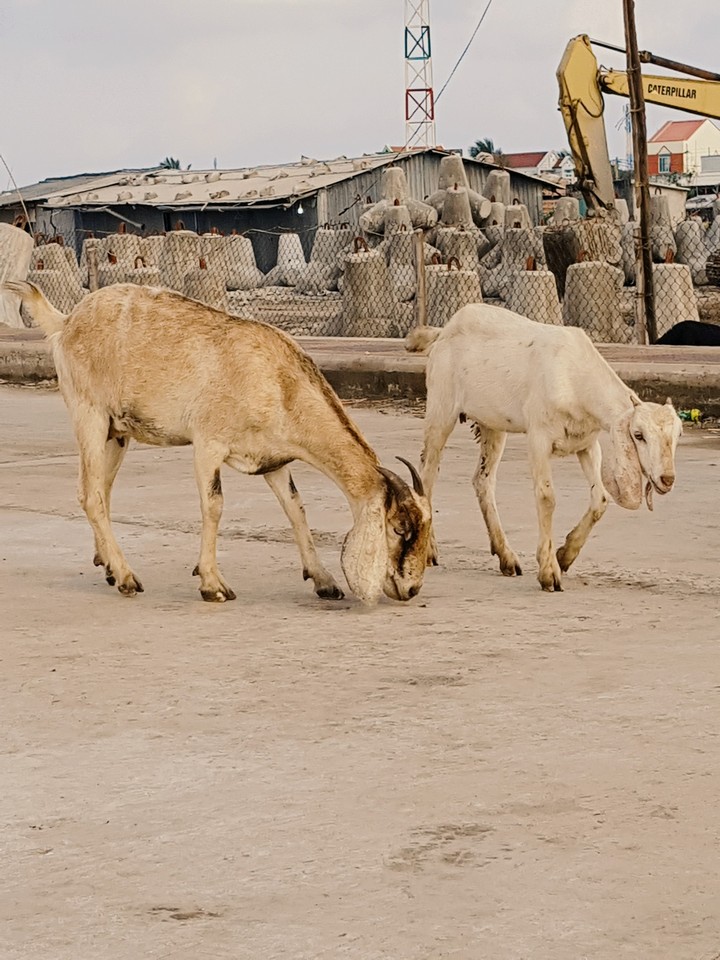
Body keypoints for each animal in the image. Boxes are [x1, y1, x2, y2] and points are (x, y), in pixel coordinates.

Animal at [8, 281, 431, 605]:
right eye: (399, 528)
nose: (411, 589)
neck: (278, 382)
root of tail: (65, 323)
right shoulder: (208, 443)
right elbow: (214, 505)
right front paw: (212, 585)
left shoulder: (273, 459)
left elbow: (295, 509)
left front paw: (325, 581)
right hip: (89, 413)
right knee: (91, 494)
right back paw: (127, 578)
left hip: (118, 431)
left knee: (99, 489)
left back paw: (109, 566)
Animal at [406, 303, 682, 592]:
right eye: (638, 435)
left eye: (678, 435)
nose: (667, 478)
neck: (575, 378)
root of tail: (442, 332)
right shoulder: (538, 438)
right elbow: (546, 497)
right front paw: (549, 571)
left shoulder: (587, 443)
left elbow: (600, 499)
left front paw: (565, 556)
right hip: (441, 407)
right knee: (428, 473)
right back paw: (429, 551)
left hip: (492, 423)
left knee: (483, 480)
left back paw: (506, 556)